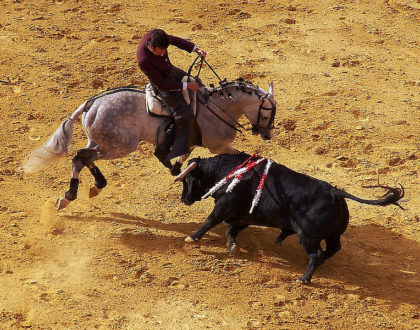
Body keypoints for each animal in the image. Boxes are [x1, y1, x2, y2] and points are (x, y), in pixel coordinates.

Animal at [24, 78, 278, 210]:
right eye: (267, 113)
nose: (268, 135)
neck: (218, 107)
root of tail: (92, 103)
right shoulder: (220, 146)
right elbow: (241, 156)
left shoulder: (192, 142)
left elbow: (184, 155)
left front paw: (176, 168)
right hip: (120, 146)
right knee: (81, 156)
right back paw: (76, 193)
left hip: (100, 141)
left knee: (83, 157)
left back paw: (88, 188)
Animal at [175, 153, 404, 282]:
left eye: (188, 179)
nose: (183, 199)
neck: (228, 172)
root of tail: (335, 193)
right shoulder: (244, 216)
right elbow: (231, 230)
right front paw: (232, 247)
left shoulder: (224, 207)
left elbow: (210, 221)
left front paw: (192, 237)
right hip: (332, 235)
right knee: (333, 248)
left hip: (308, 236)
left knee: (316, 254)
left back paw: (304, 279)